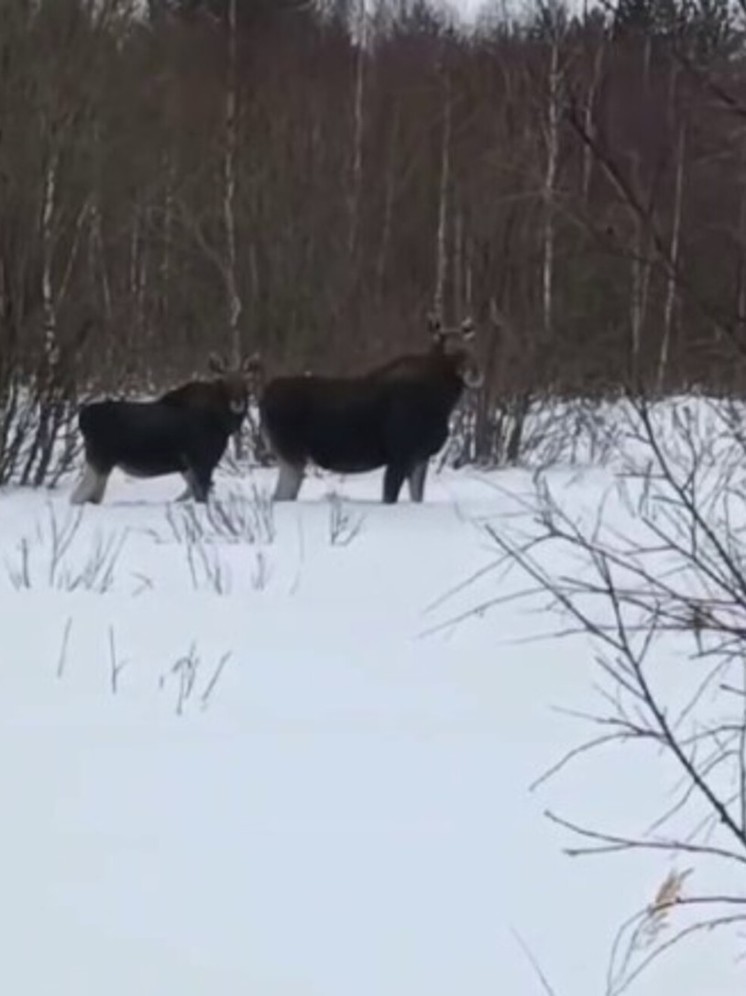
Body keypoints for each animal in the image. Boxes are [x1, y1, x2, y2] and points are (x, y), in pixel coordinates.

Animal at [70, 352, 260, 506]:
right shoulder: (201, 461)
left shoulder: (187, 466)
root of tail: (83, 417)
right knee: (77, 497)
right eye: (223, 381)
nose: (237, 403)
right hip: (100, 460)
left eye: (247, 381)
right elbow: (201, 496)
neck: (223, 424)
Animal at [256, 318, 480, 506]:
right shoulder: (399, 455)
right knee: (280, 497)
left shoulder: (420, 456)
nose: (475, 373)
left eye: (470, 347)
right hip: (291, 453)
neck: (443, 402)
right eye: (448, 349)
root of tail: (263, 396)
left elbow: (417, 497)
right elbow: (389, 497)